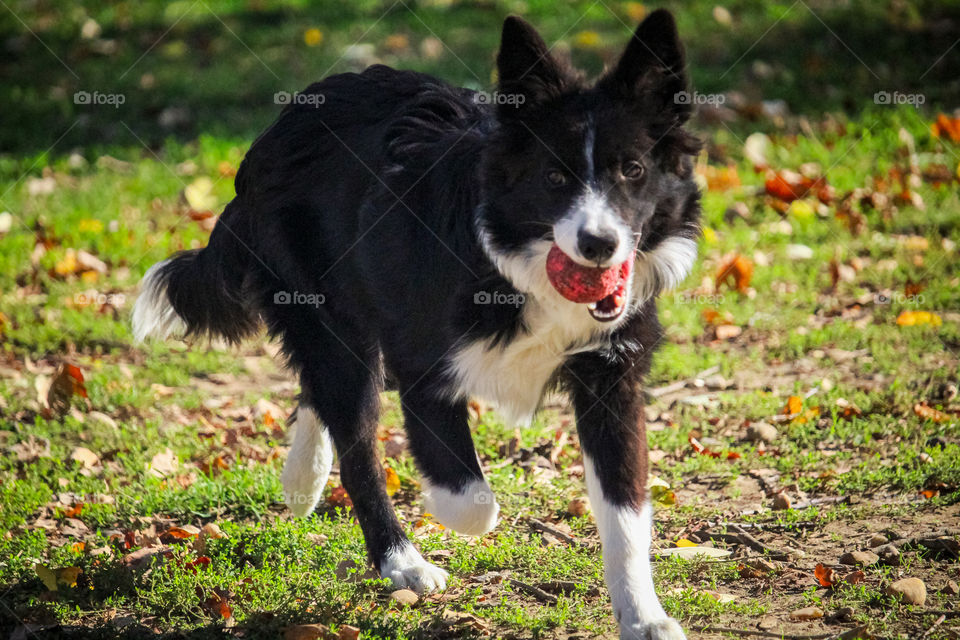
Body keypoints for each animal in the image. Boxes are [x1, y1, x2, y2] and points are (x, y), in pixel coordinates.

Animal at [135, 11, 700, 640]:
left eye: (633, 171)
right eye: (554, 178)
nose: (598, 245)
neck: (518, 264)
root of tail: (284, 120)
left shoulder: (611, 377)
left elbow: (626, 513)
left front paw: (644, 617)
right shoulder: (424, 366)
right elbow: (473, 504)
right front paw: (433, 520)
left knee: (320, 393)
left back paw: (302, 478)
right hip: (331, 317)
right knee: (355, 438)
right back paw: (398, 559)